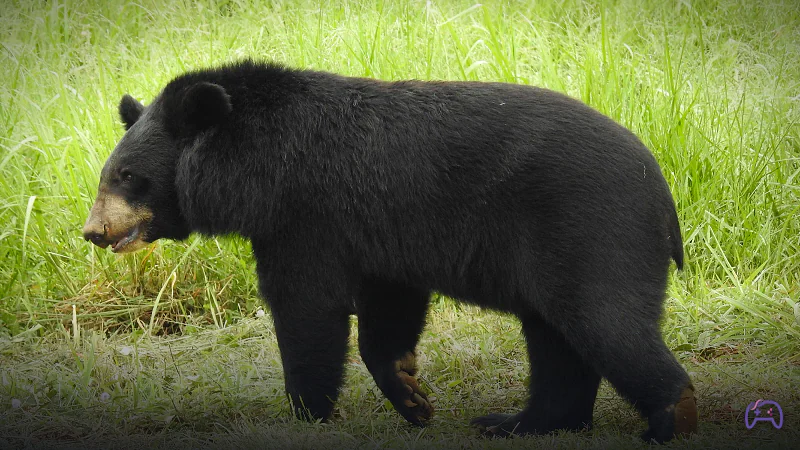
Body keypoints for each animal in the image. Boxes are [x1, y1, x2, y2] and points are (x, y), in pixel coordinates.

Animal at [82, 60, 697, 443]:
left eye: (128, 176)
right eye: (108, 175)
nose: (94, 232)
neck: (255, 164)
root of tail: (663, 195)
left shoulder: (306, 215)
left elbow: (308, 308)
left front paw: (305, 411)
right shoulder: (378, 234)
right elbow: (389, 308)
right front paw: (412, 396)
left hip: (588, 233)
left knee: (605, 321)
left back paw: (670, 418)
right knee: (557, 343)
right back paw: (515, 422)